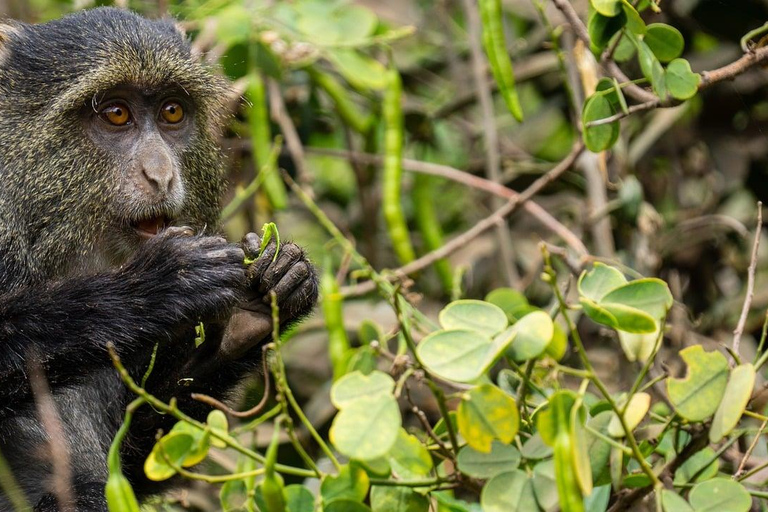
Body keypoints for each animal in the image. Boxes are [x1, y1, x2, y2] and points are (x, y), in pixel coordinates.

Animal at [0, 8, 318, 512]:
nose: (162, 174)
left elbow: (140, 465)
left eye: (172, 112)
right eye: (116, 114)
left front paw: (263, 302)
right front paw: (163, 284)